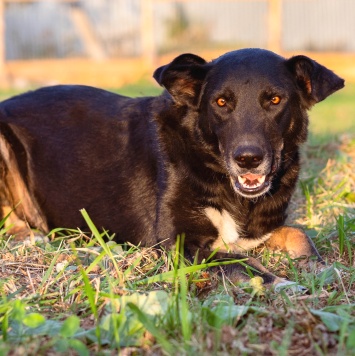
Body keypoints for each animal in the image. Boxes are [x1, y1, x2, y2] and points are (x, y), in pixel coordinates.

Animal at [0, 48, 344, 286]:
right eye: (221, 102)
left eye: (275, 100)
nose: (248, 159)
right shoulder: (176, 244)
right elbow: (239, 263)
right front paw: (283, 283)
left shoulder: (259, 231)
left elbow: (299, 235)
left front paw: (322, 268)